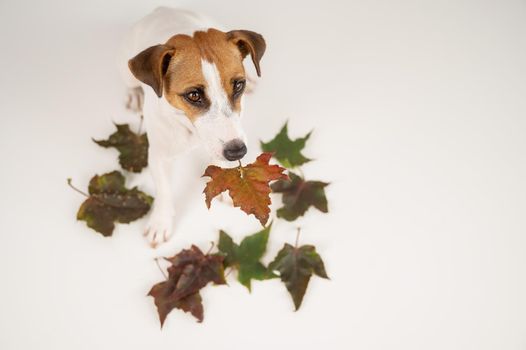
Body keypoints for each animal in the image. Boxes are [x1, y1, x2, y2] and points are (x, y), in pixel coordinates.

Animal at [120, 6, 268, 246]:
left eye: (238, 85)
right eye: (194, 95)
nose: (237, 151)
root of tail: (162, 9)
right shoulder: (159, 156)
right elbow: (164, 191)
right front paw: (160, 222)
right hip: (125, 70)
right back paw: (134, 94)